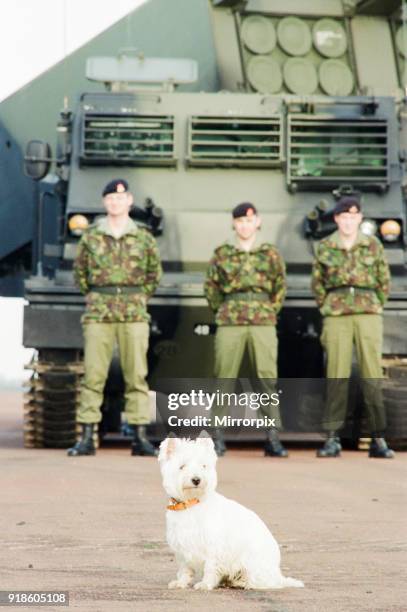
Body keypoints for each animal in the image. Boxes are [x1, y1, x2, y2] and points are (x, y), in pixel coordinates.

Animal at [158, 432, 304, 592]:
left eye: (203, 466)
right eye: (182, 466)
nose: (196, 480)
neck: (191, 504)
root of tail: (278, 575)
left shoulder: (213, 546)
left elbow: (210, 567)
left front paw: (205, 584)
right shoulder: (182, 548)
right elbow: (185, 569)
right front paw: (181, 583)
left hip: (252, 563)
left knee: (264, 582)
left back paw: (242, 583)